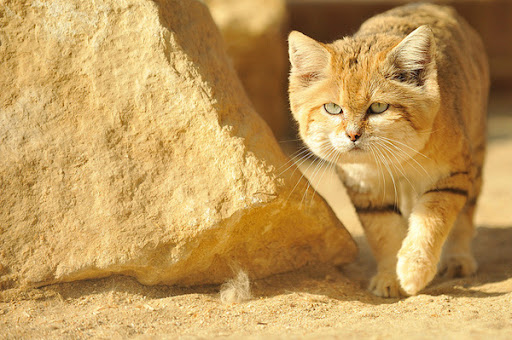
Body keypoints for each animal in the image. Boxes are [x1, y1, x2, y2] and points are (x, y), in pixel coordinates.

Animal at [288, 3, 488, 298]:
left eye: (379, 107)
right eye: (333, 108)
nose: (353, 135)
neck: (394, 160)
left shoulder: (450, 176)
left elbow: (431, 220)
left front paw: (414, 270)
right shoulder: (365, 187)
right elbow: (384, 233)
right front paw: (389, 277)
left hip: (475, 152)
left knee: (466, 214)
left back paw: (458, 259)